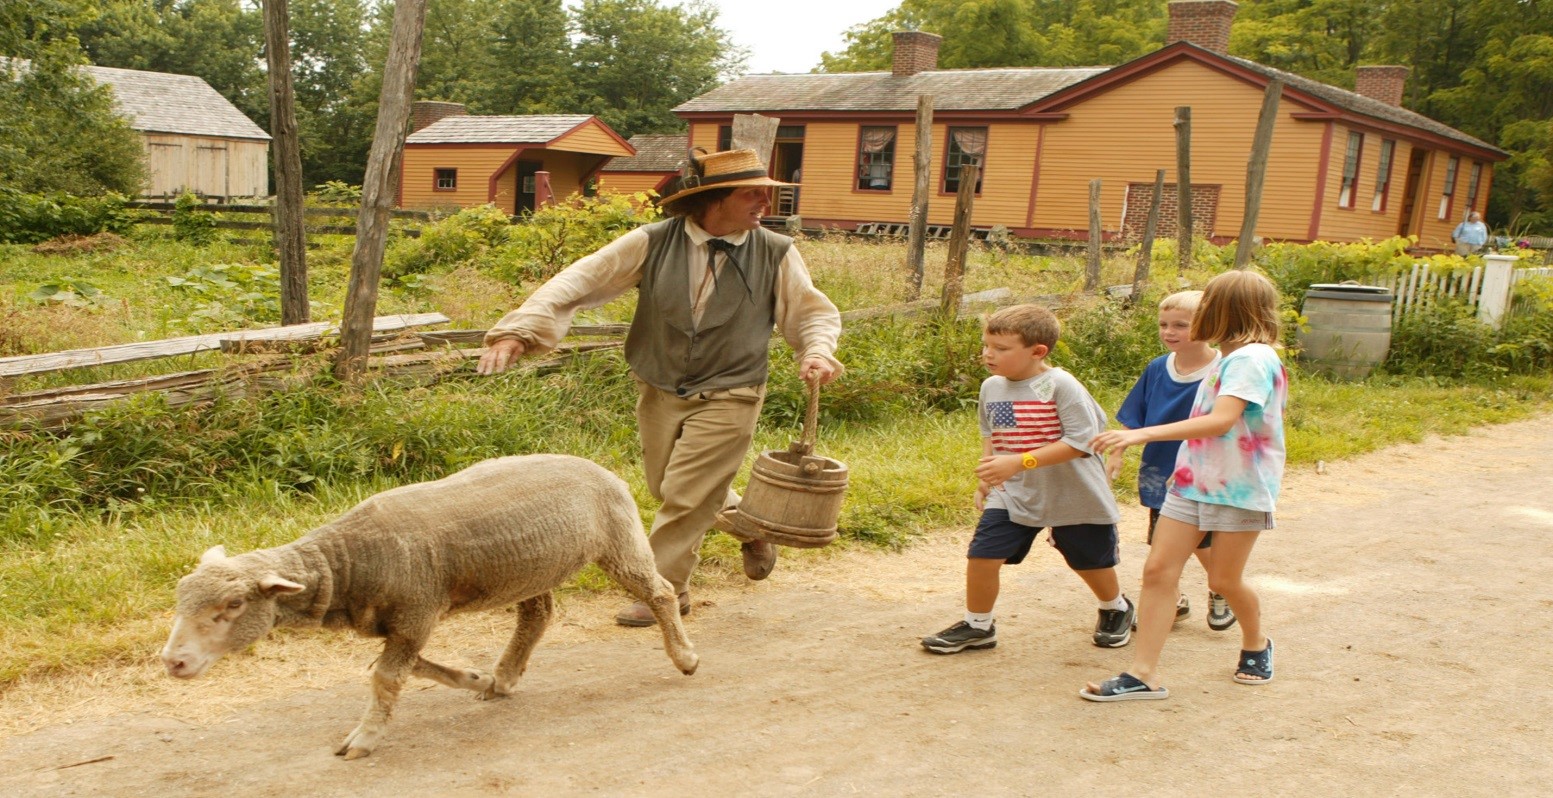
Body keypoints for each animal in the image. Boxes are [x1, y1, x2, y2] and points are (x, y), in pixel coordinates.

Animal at [159, 453, 698, 757]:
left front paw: (363, 740)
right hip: (529, 568)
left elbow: (385, 677)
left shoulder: (416, 612)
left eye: (233, 604)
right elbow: (403, 667)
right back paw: (503, 678)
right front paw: (473, 678)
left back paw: (685, 657)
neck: (346, 563)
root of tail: (600, 467)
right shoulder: (403, 622)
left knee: (659, 591)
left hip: (618, 539)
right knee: (537, 615)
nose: (173, 662)